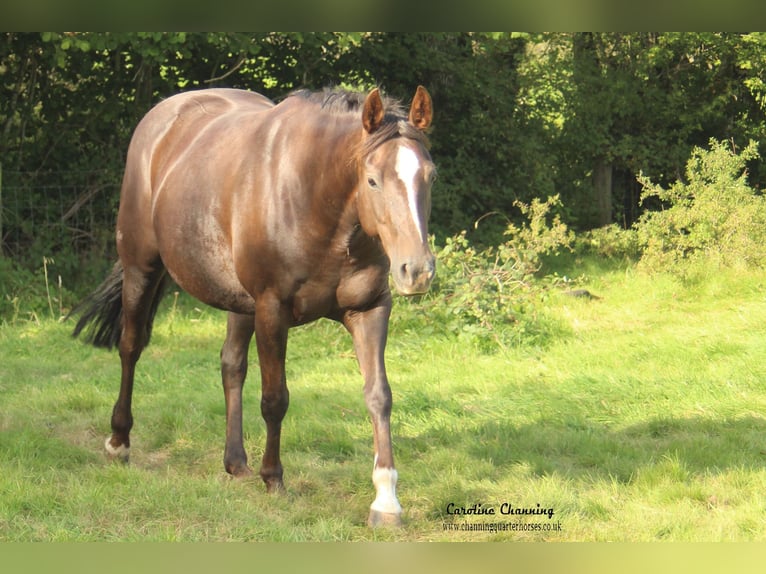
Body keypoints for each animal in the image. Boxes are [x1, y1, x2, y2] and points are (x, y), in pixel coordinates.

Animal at [72, 83, 438, 528]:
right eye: (372, 180)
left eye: (430, 176)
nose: (416, 270)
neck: (317, 202)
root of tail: (161, 116)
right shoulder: (271, 310)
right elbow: (275, 398)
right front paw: (274, 478)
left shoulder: (369, 310)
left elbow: (379, 396)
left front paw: (386, 499)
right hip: (141, 268)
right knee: (130, 348)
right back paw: (119, 442)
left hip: (238, 303)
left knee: (231, 365)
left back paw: (235, 462)